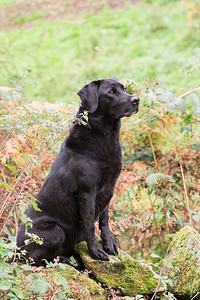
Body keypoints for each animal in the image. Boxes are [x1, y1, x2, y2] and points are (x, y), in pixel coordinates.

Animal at [16, 77, 139, 264]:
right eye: (111, 92)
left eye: (124, 89)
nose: (136, 100)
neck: (104, 136)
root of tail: (14, 252)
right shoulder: (87, 193)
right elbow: (89, 225)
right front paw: (96, 251)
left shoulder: (109, 188)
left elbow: (104, 218)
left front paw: (109, 243)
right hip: (54, 230)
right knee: (35, 261)